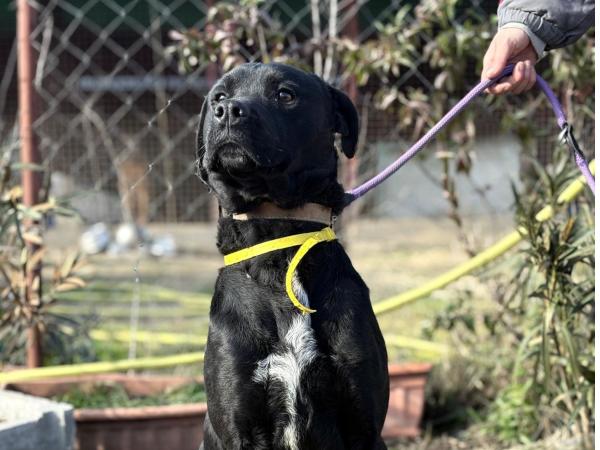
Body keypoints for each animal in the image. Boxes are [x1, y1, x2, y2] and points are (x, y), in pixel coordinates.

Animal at [196, 62, 389, 450]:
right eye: (219, 96)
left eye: (285, 94)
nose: (228, 110)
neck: (279, 241)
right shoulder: (239, 427)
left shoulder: (364, 426)